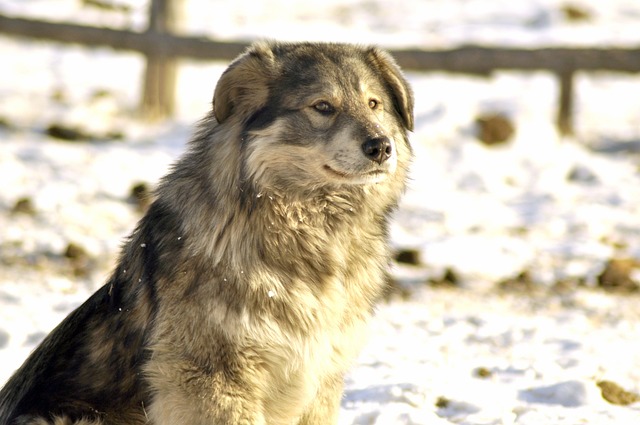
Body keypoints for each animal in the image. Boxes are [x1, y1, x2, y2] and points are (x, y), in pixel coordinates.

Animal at [0, 40, 416, 424]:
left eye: (374, 104)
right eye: (323, 107)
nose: (381, 146)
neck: (309, 231)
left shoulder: (321, 381)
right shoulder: (211, 378)